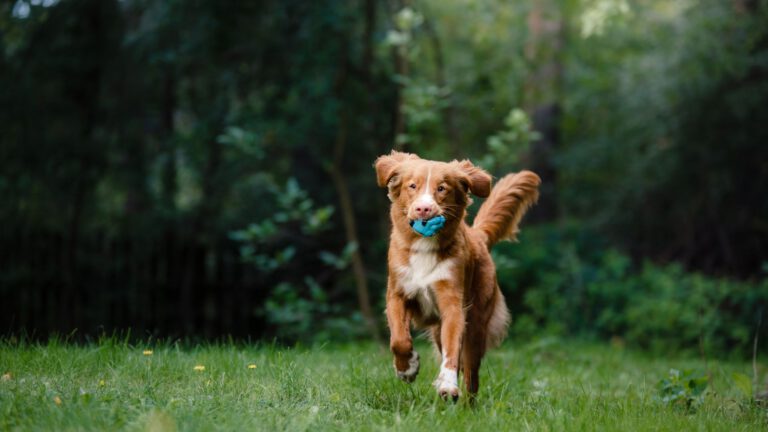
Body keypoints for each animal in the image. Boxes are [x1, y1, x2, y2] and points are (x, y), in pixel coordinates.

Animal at [374, 152, 540, 402]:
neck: (424, 247)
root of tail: (478, 235)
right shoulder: (397, 294)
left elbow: (453, 350)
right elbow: (399, 340)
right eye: (412, 186)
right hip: (437, 329)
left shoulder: (453, 304)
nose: (424, 209)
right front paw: (407, 368)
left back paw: (466, 404)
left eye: (442, 188)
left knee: (471, 373)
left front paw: (447, 385)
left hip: (477, 324)